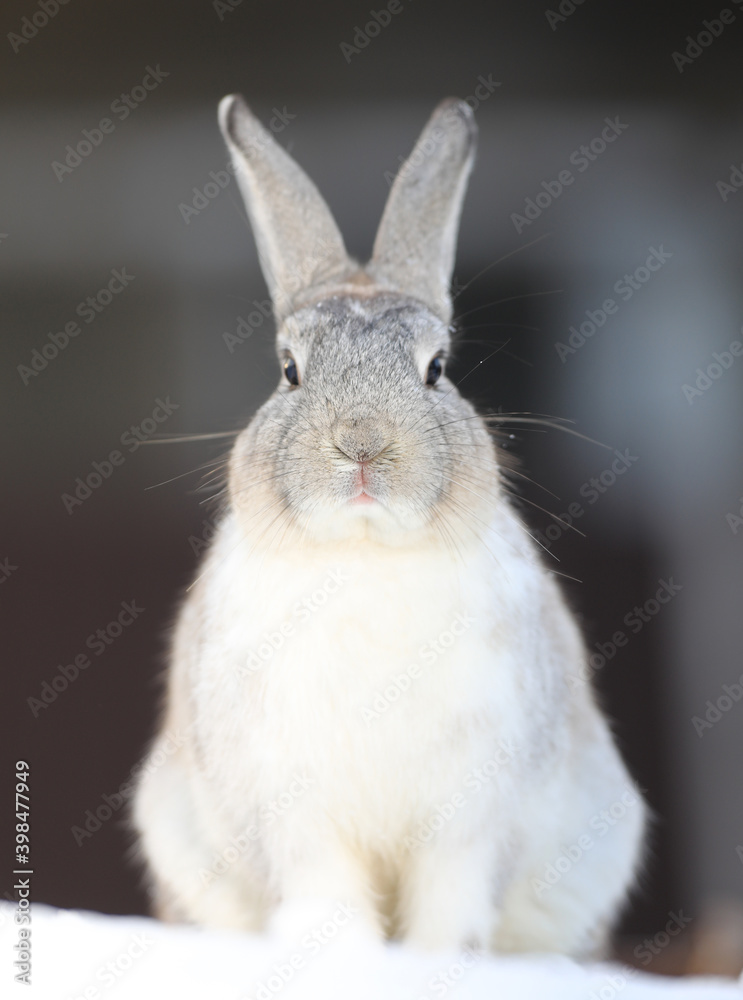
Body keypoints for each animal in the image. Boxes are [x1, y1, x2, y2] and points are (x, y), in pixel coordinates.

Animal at [132, 94, 646, 958]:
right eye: (288, 370)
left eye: (436, 370)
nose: (362, 442)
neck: (366, 554)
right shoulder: (293, 808)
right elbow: (325, 890)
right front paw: (335, 954)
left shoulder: (473, 811)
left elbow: (452, 896)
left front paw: (444, 958)